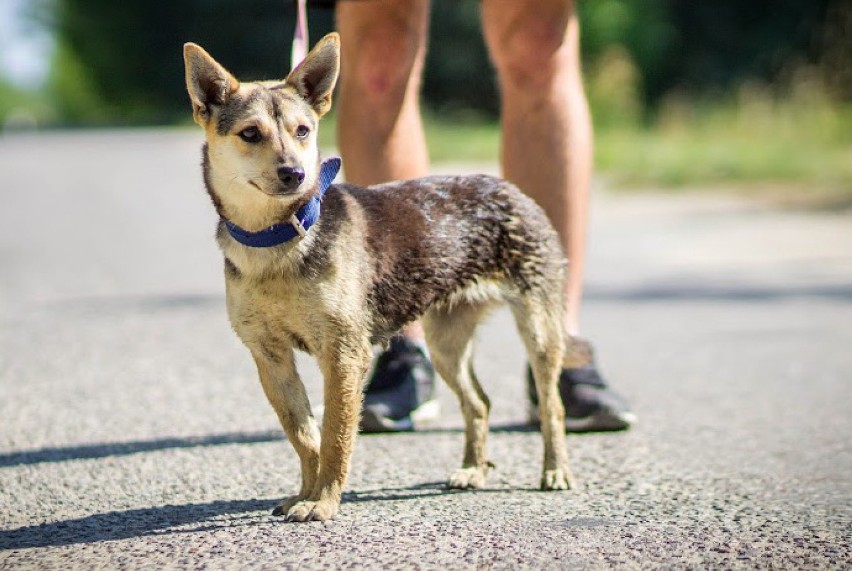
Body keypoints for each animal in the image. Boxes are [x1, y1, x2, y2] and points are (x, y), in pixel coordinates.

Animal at [185, 32, 572, 524]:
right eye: (250, 133)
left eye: (303, 131)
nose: (295, 173)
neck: (279, 238)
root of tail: (511, 188)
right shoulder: (270, 357)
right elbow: (303, 435)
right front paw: (304, 493)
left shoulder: (343, 355)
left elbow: (335, 436)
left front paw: (324, 502)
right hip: (446, 344)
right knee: (479, 403)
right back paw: (473, 470)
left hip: (539, 330)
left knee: (552, 406)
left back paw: (556, 470)